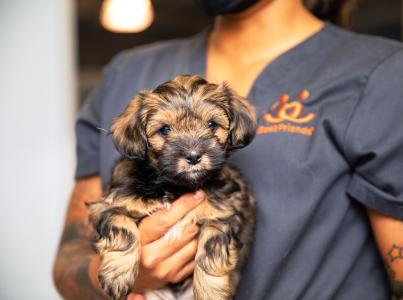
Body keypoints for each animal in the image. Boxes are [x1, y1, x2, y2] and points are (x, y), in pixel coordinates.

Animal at [89, 75, 258, 300]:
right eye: (165, 130)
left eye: (212, 124)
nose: (194, 156)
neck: (175, 187)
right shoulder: (112, 202)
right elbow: (122, 230)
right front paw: (117, 275)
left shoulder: (221, 214)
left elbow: (211, 251)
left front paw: (211, 291)